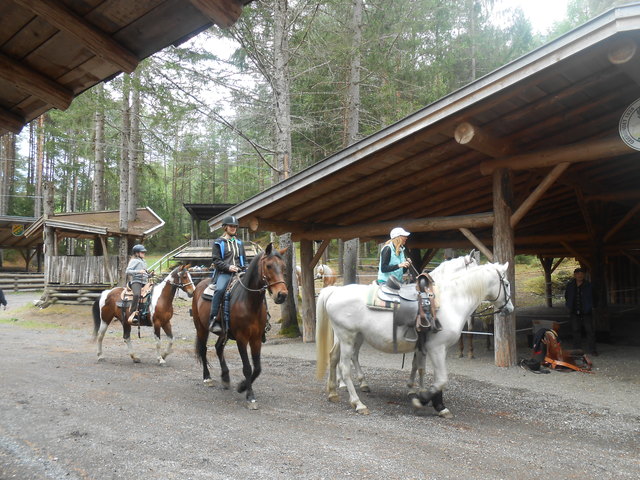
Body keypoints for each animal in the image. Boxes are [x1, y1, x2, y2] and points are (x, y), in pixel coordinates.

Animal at [316, 260, 516, 414]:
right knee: (345, 366)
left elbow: (424, 370)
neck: (450, 301)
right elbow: (440, 379)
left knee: (334, 358)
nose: (510, 309)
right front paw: (426, 401)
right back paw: (358, 403)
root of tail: (334, 291)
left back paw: (333, 393)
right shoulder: (437, 348)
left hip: (352, 337)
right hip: (347, 336)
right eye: (506, 284)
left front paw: (426, 396)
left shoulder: (429, 348)